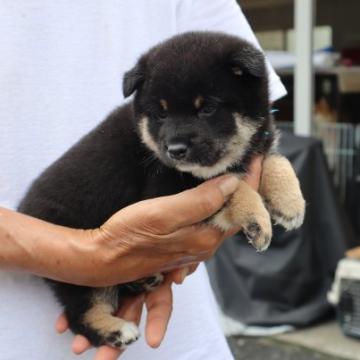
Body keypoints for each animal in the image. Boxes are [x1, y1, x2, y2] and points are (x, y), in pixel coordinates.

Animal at [18, 33, 306, 348]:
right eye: (161, 114)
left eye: (207, 108)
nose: (175, 150)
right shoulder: (168, 189)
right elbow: (232, 186)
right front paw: (256, 219)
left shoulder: (257, 148)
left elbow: (277, 160)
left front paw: (290, 203)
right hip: (80, 268)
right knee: (79, 313)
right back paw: (114, 330)